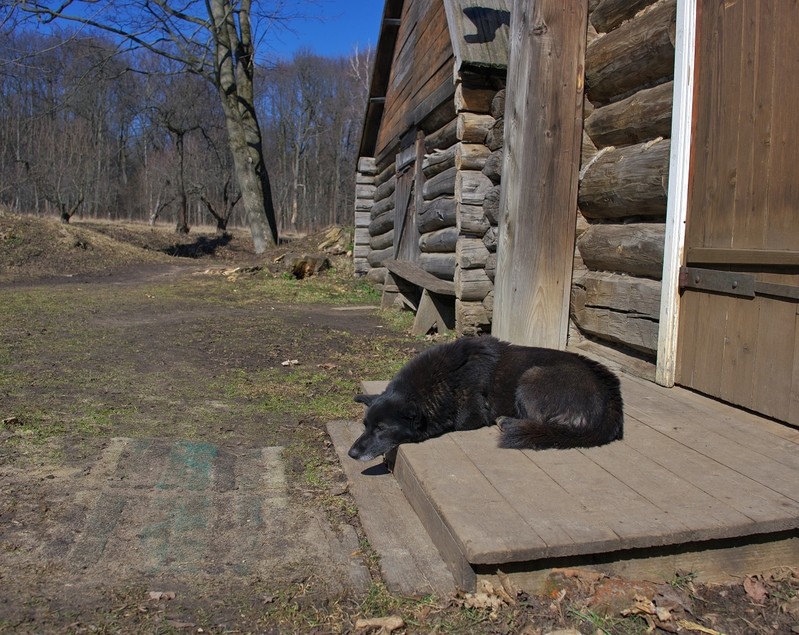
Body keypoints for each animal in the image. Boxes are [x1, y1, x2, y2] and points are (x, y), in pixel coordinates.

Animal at [350, 338, 624, 462]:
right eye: (365, 426)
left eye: (382, 429)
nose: (351, 453)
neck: (444, 378)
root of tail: (611, 400)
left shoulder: (470, 417)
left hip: (531, 376)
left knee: (541, 425)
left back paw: (508, 422)